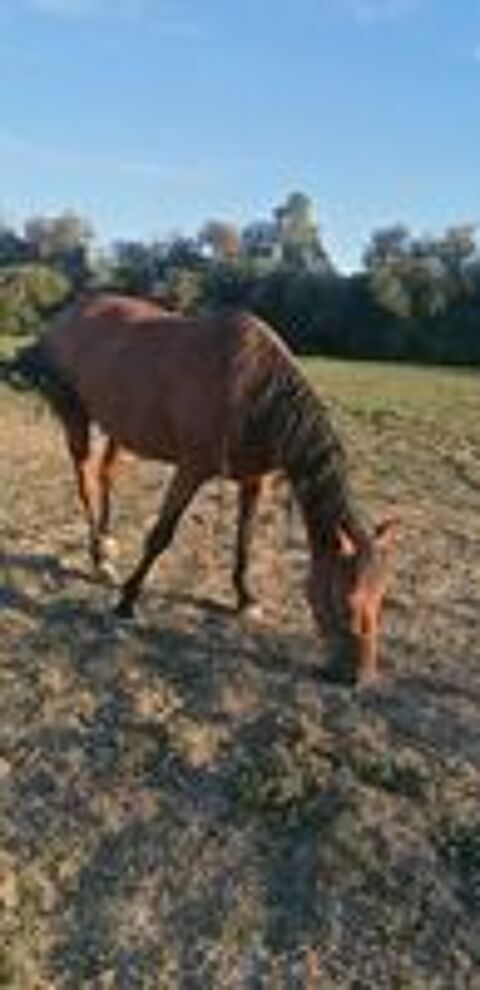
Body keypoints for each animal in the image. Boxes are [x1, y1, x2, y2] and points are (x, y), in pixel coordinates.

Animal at [12, 292, 396, 684]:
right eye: (346, 602)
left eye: (382, 597)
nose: (359, 677)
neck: (252, 390)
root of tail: (68, 316)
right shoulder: (191, 469)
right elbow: (160, 536)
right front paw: (127, 601)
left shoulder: (254, 481)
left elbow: (245, 542)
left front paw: (245, 599)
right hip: (75, 417)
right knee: (85, 483)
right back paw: (99, 557)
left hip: (120, 427)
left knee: (106, 476)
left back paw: (106, 543)